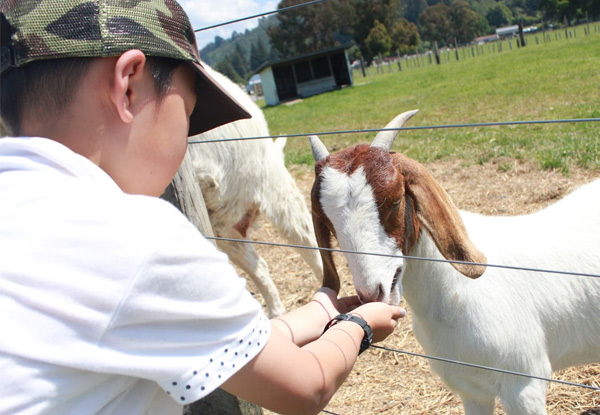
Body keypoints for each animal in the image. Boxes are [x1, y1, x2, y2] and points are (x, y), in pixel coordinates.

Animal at [310, 110, 600, 415]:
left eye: (396, 200)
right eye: (327, 221)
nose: (373, 293)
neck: (453, 294)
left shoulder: (524, 384)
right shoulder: (471, 389)